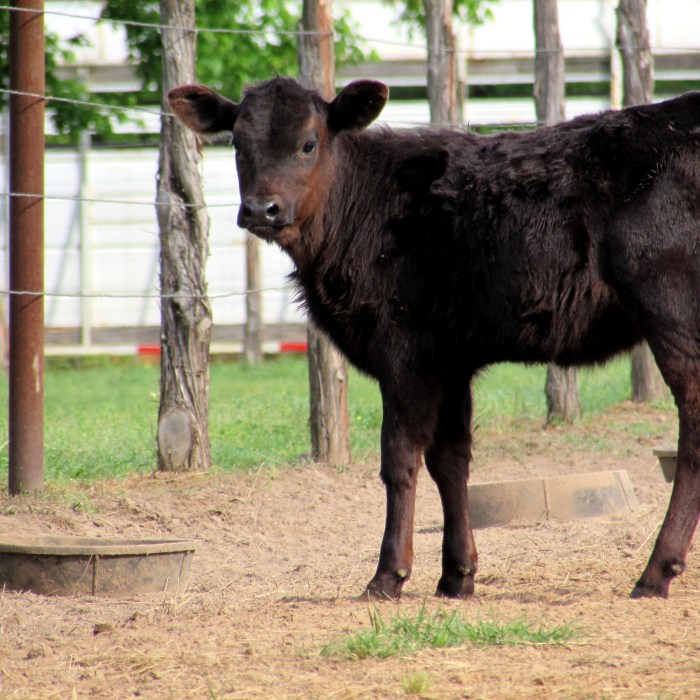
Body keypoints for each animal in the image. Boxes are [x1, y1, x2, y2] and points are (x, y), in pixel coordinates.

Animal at [168, 76, 700, 600]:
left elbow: (399, 460)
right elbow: (450, 458)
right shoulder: (451, 358)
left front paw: (388, 575)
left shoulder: (404, 351)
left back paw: (656, 571)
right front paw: (457, 575)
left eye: (308, 143)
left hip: (670, 305)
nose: (262, 209)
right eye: (237, 144)